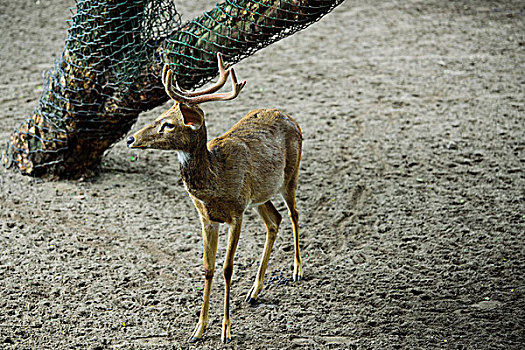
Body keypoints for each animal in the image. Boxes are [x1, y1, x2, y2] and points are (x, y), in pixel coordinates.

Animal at [126, 53, 302, 344]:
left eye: (168, 124)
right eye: (160, 115)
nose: (130, 138)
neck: (215, 181)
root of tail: (292, 118)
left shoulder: (237, 213)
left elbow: (227, 268)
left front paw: (226, 331)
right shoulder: (206, 218)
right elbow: (208, 269)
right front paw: (198, 329)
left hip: (290, 174)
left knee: (293, 214)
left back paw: (298, 270)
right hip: (260, 195)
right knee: (274, 220)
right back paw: (254, 292)